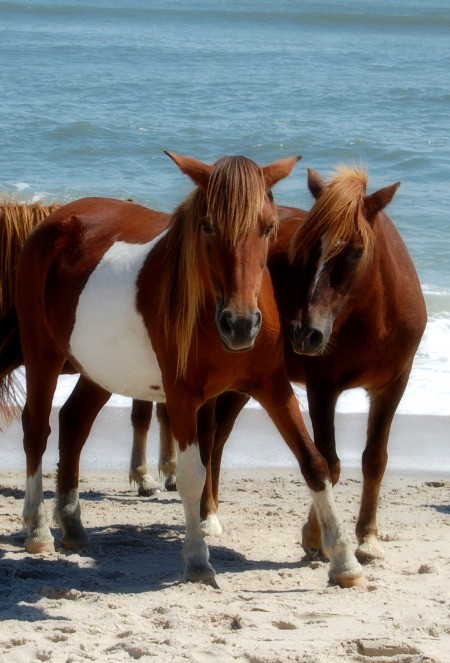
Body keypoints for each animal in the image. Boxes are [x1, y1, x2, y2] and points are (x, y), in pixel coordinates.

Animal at [0, 153, 364, 588]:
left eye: (269, 226)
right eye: (208, 225)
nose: (240, 325)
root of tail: (53, 219)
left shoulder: (272, 386)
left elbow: (314, 463)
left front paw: (344, 560)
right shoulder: (182, 396)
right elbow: (193, 475)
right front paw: (197, 559)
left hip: (101, 369)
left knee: (73, 422)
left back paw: (72, 525)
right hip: (44, 355)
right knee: (37, 429)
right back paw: (37, 528)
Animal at [146, 166, 428, 564]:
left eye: (356, 251)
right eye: (305, 250)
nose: (305, 332)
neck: (374, 318)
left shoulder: (393, 387)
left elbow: (374, 459)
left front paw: (368, 538)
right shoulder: (323, 387)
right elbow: (330, 461)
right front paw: (316, 536)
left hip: (241, 387)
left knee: (217, 441)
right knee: (209, 438)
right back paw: (207, 515)